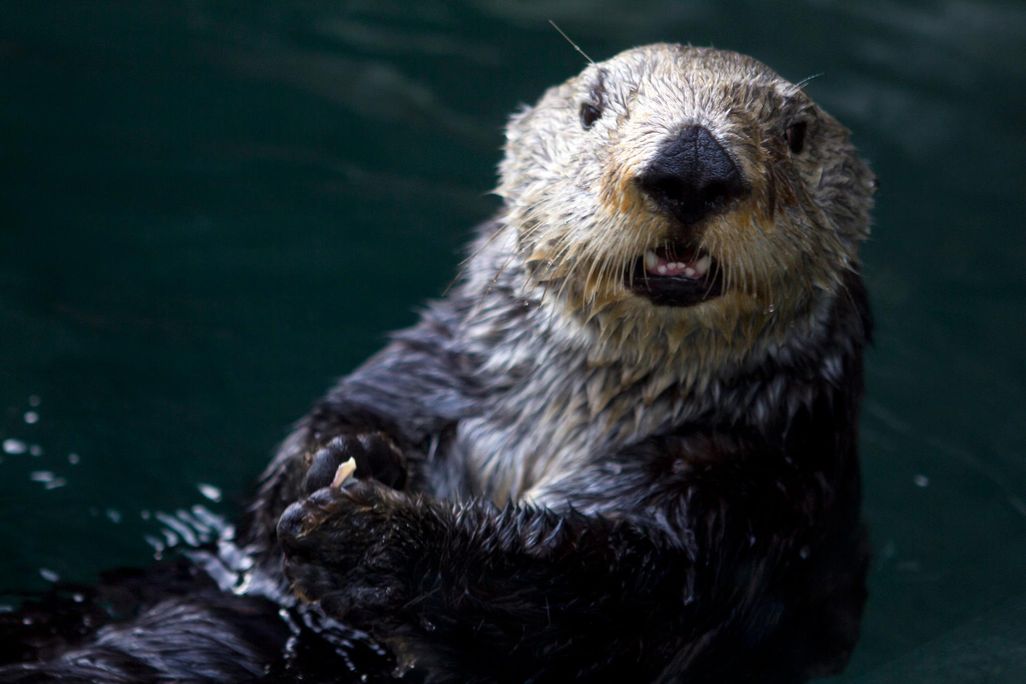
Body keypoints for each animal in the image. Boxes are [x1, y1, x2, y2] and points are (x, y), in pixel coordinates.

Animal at [0, 44, 874, 682]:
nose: (691, 163)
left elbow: (588, 590)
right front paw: (346, 456)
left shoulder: (747, 492)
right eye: (592, 108)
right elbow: (323, 446)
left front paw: (369, 534)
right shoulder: (431, 371)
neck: (568, 411)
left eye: (795, 134)